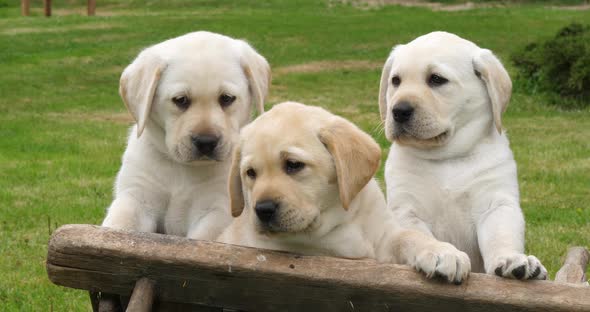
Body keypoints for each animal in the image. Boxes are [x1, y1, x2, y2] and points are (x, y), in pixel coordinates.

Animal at [102, 31, 272, 239]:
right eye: (180, 100)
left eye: (227, 98)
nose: (206, 142)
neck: (182, 169)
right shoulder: (135, 198)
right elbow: (119, 226)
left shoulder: (218, 211)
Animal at [217, 103, 472, 286]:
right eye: (250, 173)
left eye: (293, 165)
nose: (263, 210)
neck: (343, 220)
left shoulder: (385, 237)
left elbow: (409, 236)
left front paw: (441, 251)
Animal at [380, 32, 552, 280]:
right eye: (396, 81)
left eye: (436, 79)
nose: (399, 111)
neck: (447, 157)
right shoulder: (405, 211)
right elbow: (419, 237)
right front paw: (442, 253)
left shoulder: (497, 204)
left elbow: (501, 235)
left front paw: (512, 259)